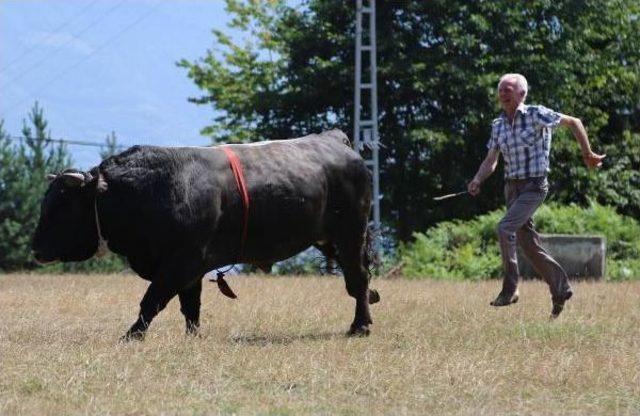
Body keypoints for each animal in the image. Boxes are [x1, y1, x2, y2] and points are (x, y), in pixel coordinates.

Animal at [32, 130, 380, 338]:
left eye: (62, 206)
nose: (35, 249)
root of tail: (334, 139)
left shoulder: (181, 262)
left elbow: (152, 301)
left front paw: (132, 336)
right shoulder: (190, 268)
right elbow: (190, 306)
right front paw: (194, 337)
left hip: (350, 235)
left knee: (359, 280)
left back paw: (359, 326)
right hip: (330, 240)